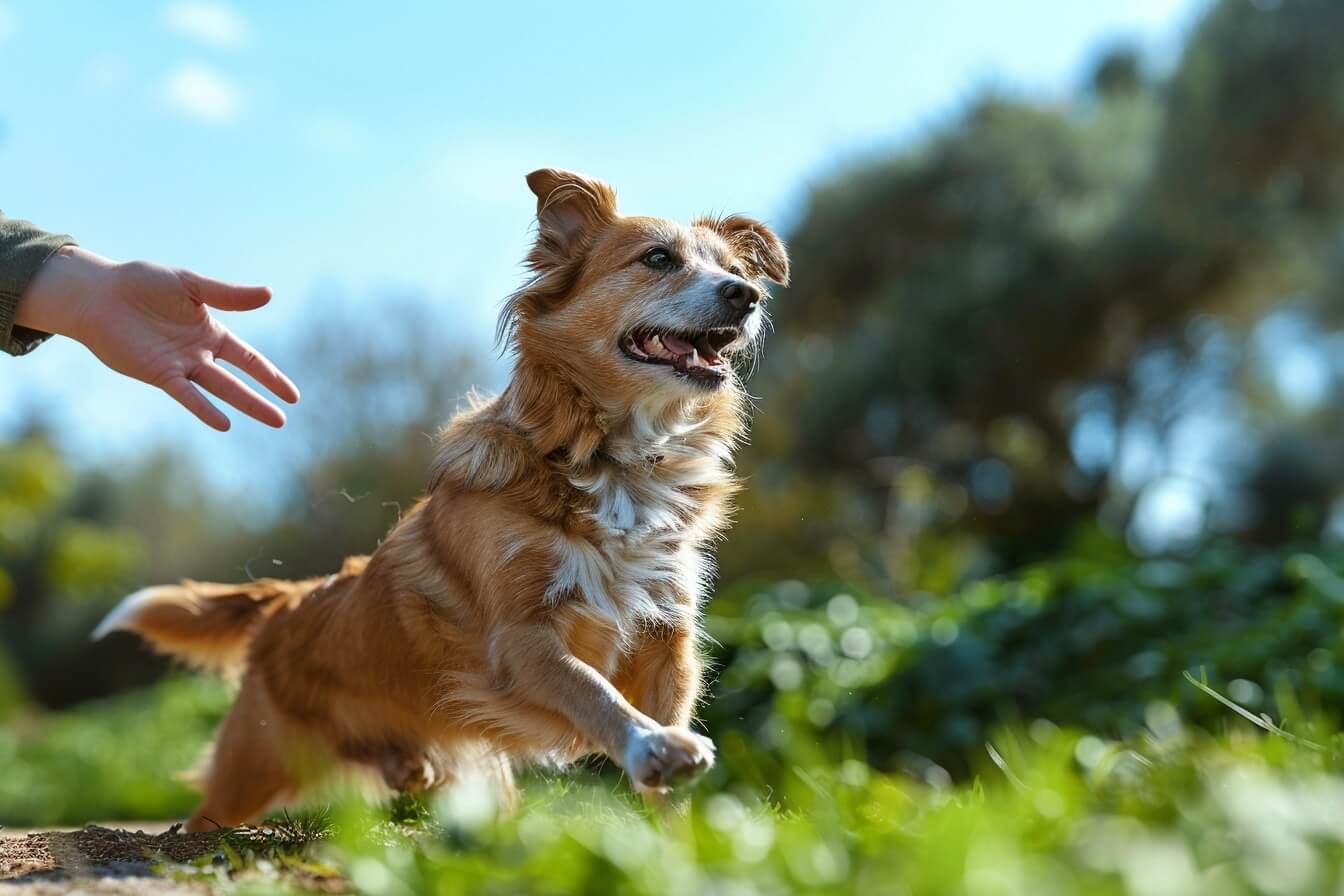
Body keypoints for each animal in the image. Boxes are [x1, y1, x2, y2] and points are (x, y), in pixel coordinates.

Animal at [92, 169, 784, 832]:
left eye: (735, 268)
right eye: (657, 258)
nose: (745, 295)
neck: (612, 459)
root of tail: (287, 604)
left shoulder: (667, 633)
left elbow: (665, 723)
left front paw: (681, 834)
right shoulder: (520, 638)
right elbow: (592, 691)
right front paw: (653, 748)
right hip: (253, 766)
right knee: (200, 820)